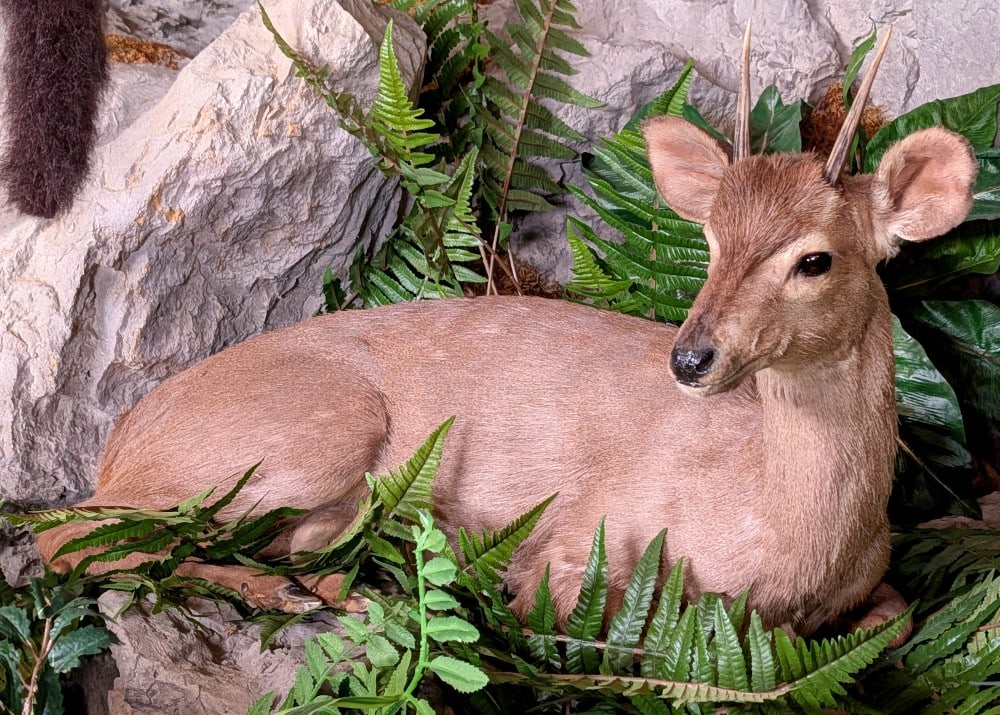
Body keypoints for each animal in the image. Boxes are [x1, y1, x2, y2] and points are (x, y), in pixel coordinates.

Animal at [35, 26, 977, 644]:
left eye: (815, 258)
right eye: (710, 239)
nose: (691, 356)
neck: (787, 539)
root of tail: (121, 442)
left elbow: (897, 620)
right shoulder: (578, 548)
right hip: (307, 433)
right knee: (68, 534)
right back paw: (304, 592)